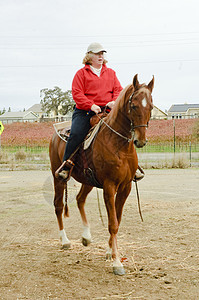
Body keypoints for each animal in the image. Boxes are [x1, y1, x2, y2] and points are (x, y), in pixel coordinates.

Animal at [49, 74, 154, 274]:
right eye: (134, 105)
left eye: (151, 106)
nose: (141, 141)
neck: (119, 145)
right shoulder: (109, 186)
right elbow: (112, 223)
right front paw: (117, 263)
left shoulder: (125, 187)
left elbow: (117, 220)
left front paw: (109, 252)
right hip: (57, 176)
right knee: (58, 205)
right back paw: (65, 241)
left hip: (87, 181)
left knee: (80, 200)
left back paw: (86, 236)